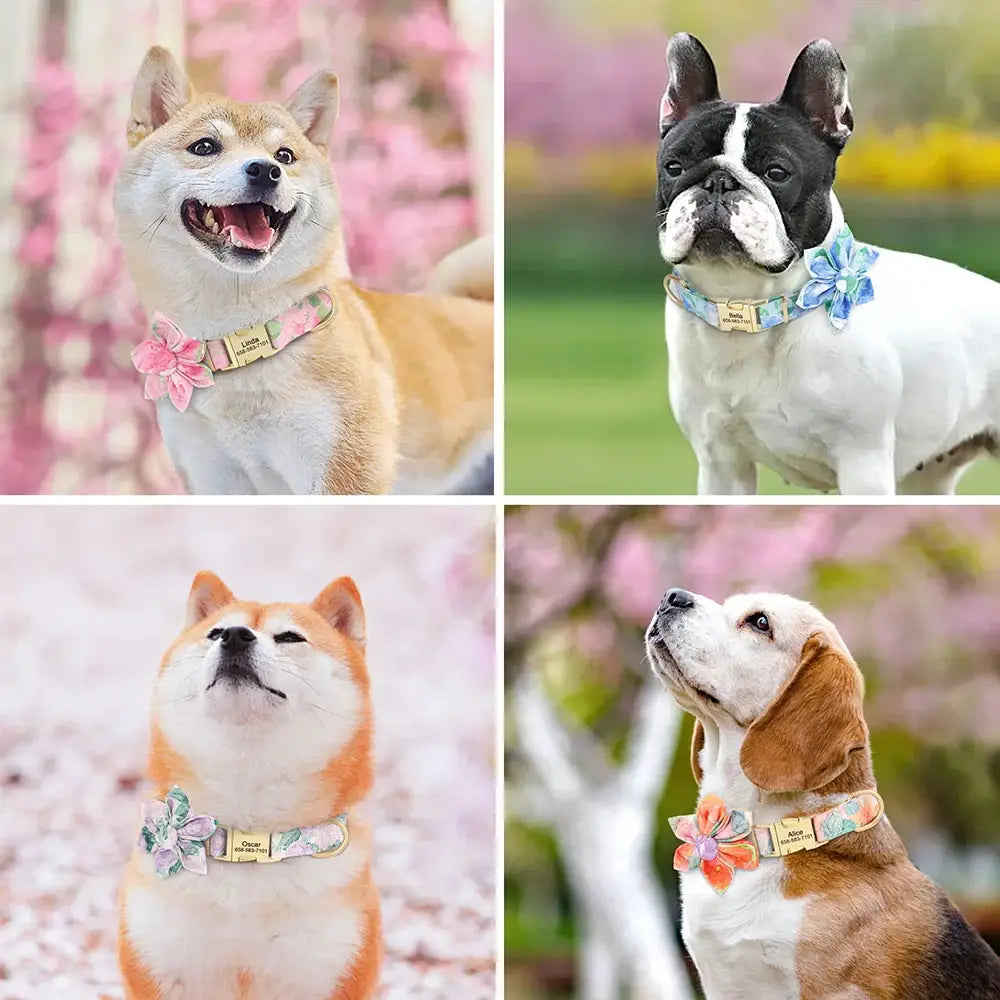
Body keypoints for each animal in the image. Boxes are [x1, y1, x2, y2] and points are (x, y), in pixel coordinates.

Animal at [115, 50, 494, 496]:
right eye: (204, 146)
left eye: (285, 156)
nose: (265, 170)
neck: (242, 338)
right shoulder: (214, 478)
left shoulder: (342, 472)